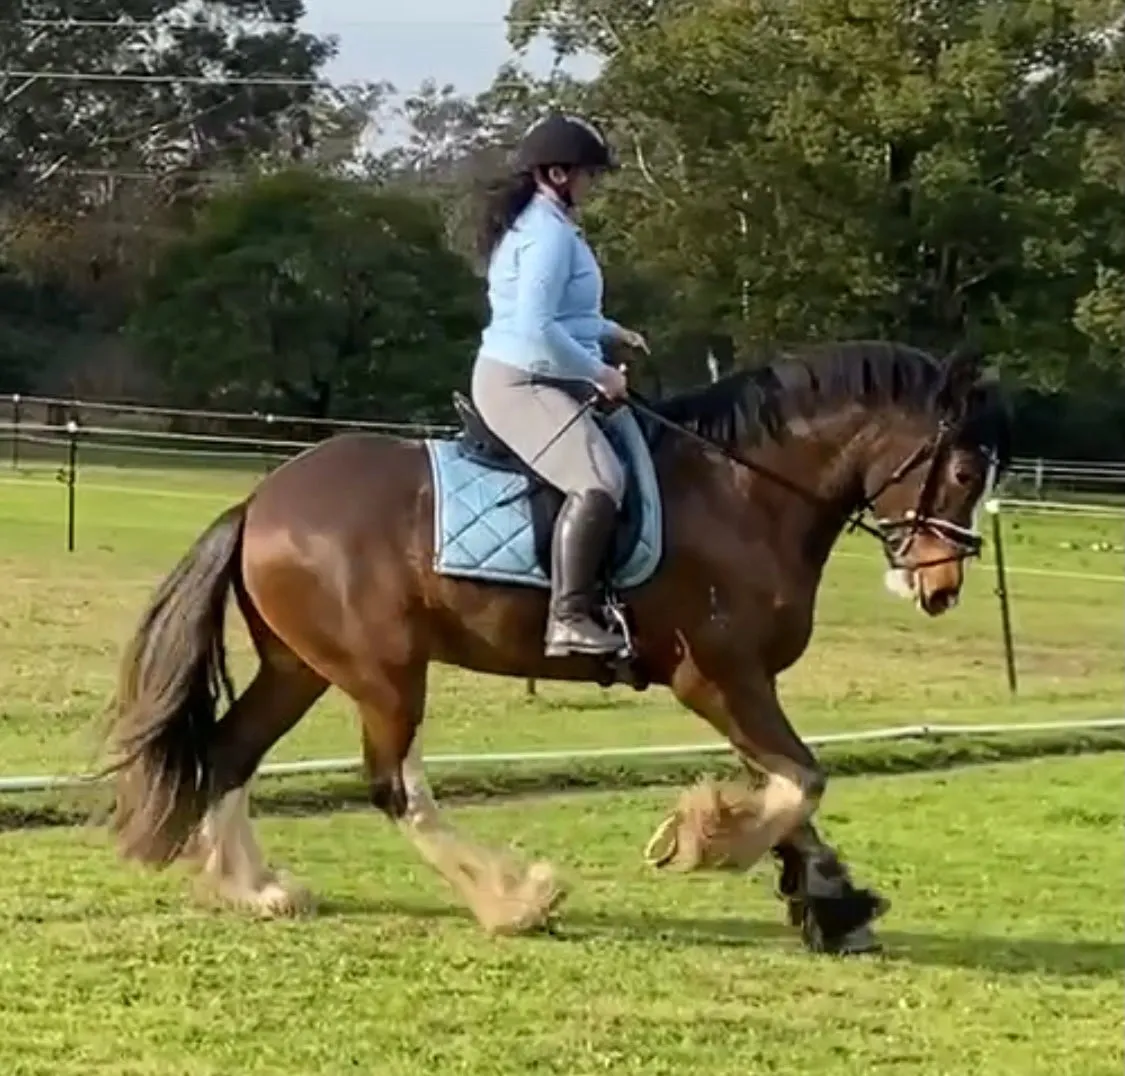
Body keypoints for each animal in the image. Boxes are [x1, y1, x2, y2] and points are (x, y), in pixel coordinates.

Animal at [99, 339, 1012, 954]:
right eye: (967, 473)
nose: (939, 588)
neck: (742, 490)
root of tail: (261, 499)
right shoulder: (716, 676)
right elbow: (800, 780)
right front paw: (704, 842)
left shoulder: (743, 684)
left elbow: (790, 782)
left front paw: (829, 903)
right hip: (384, 673)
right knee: (395, 788)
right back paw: (515, 900)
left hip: (302, 668)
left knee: (230, 752)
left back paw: (257, 890)